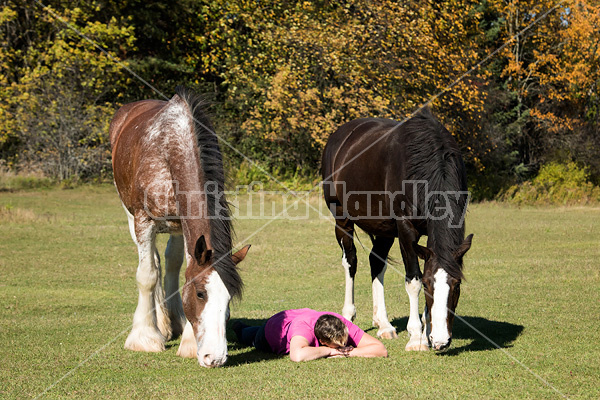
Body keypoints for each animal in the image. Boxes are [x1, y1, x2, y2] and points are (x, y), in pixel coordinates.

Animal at [109, 86, 250, 368]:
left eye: (229, 297)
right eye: (200, 294)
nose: (215, 357)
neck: (172, 148)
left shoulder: (184, 228)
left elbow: (179, 267)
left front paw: (187, 341)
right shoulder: (143, 221)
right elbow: (147, 275)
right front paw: (145, 338)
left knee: (170, 264)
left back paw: (170, 322)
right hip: (131, 216)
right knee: (151, 263)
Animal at [324, 108, 474, 352]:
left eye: (457, 284)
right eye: (428, 285)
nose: (441, 341)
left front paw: (427, 331)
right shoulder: (406, 229)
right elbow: (413, 280)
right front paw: (417, 337)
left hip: (384, 228)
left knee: (376, 262)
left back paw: (383, 324)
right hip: (341, 218)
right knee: (350, 261)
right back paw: (348, 314)